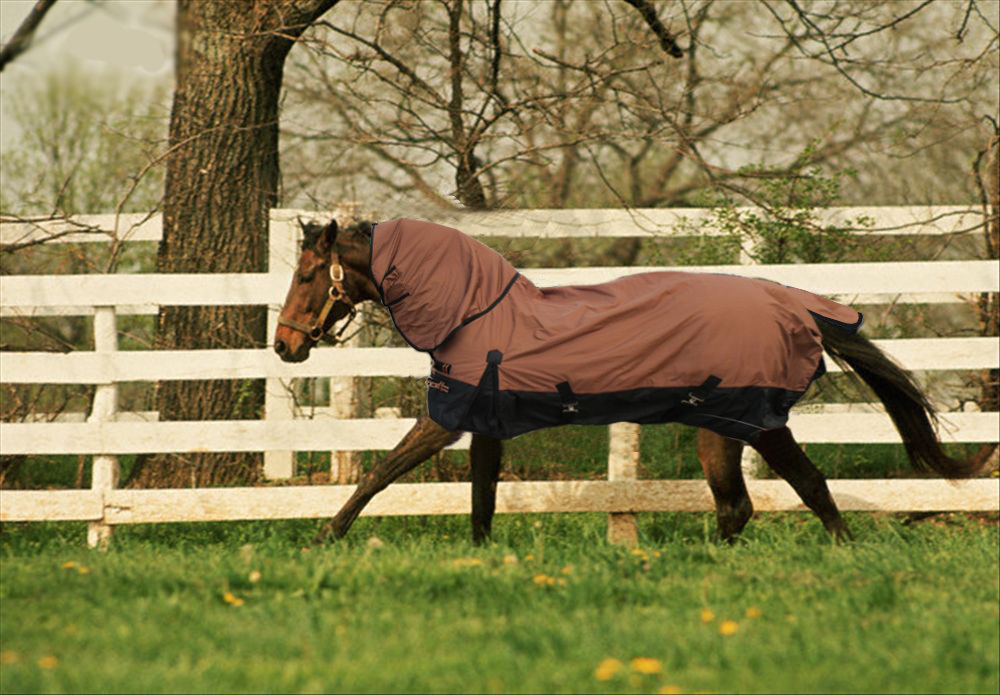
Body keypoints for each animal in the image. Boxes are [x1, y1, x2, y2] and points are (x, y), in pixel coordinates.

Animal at [274, 218, 987, 545]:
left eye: (308, 274)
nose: (284, 346)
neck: (474, 314)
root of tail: (798, 308)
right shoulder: (485, 426)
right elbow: (480, 497)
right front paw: (478, 553)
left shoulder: (446, 418)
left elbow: (379, 472)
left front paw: (324, 538)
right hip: (718, 430)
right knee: (736, 506)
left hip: (758, 424)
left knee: (809, 487)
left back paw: (843, 554)